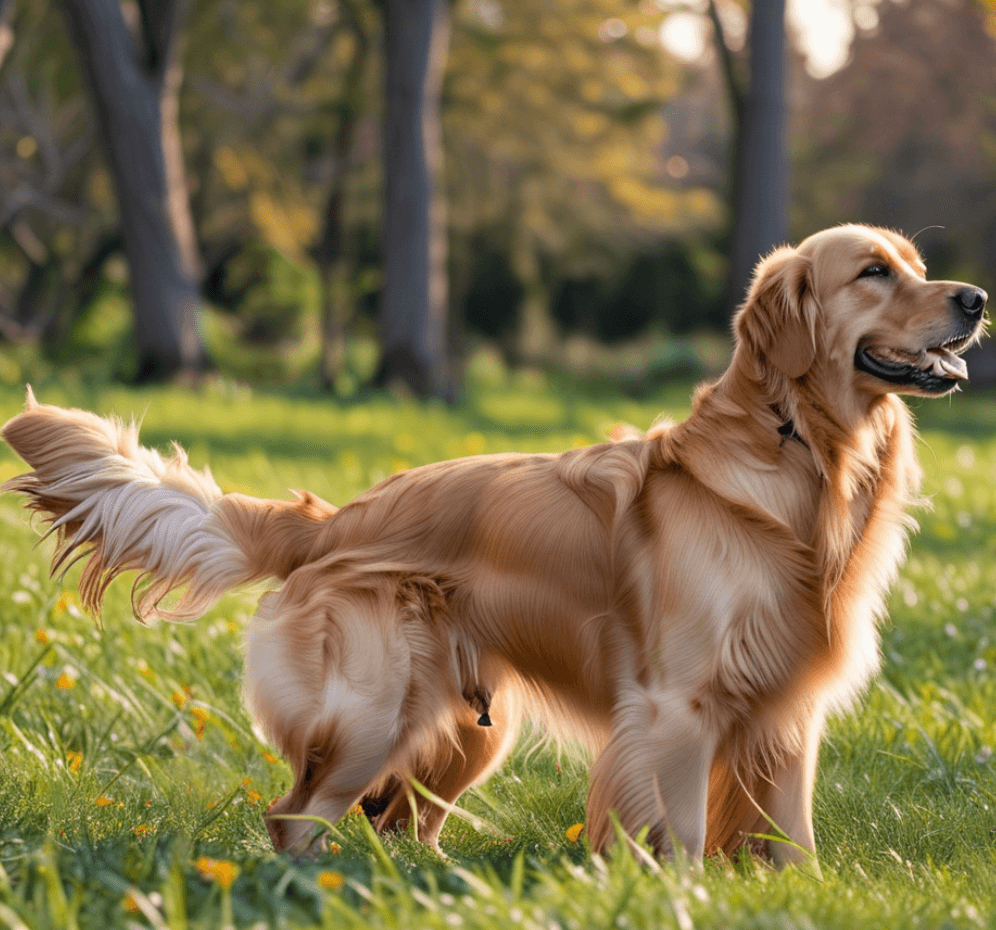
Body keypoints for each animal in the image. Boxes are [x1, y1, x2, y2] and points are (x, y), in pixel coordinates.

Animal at [0, 225, 984, 864]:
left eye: (919, 268)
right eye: (873, 273)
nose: (976, 297)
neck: (801, 454)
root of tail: (332, 517)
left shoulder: (788, 712)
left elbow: (793, 839)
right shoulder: (677, 707)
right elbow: (681, 835)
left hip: (472, 732)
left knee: (399, 822)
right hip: (369, 714)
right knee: (295, 817)